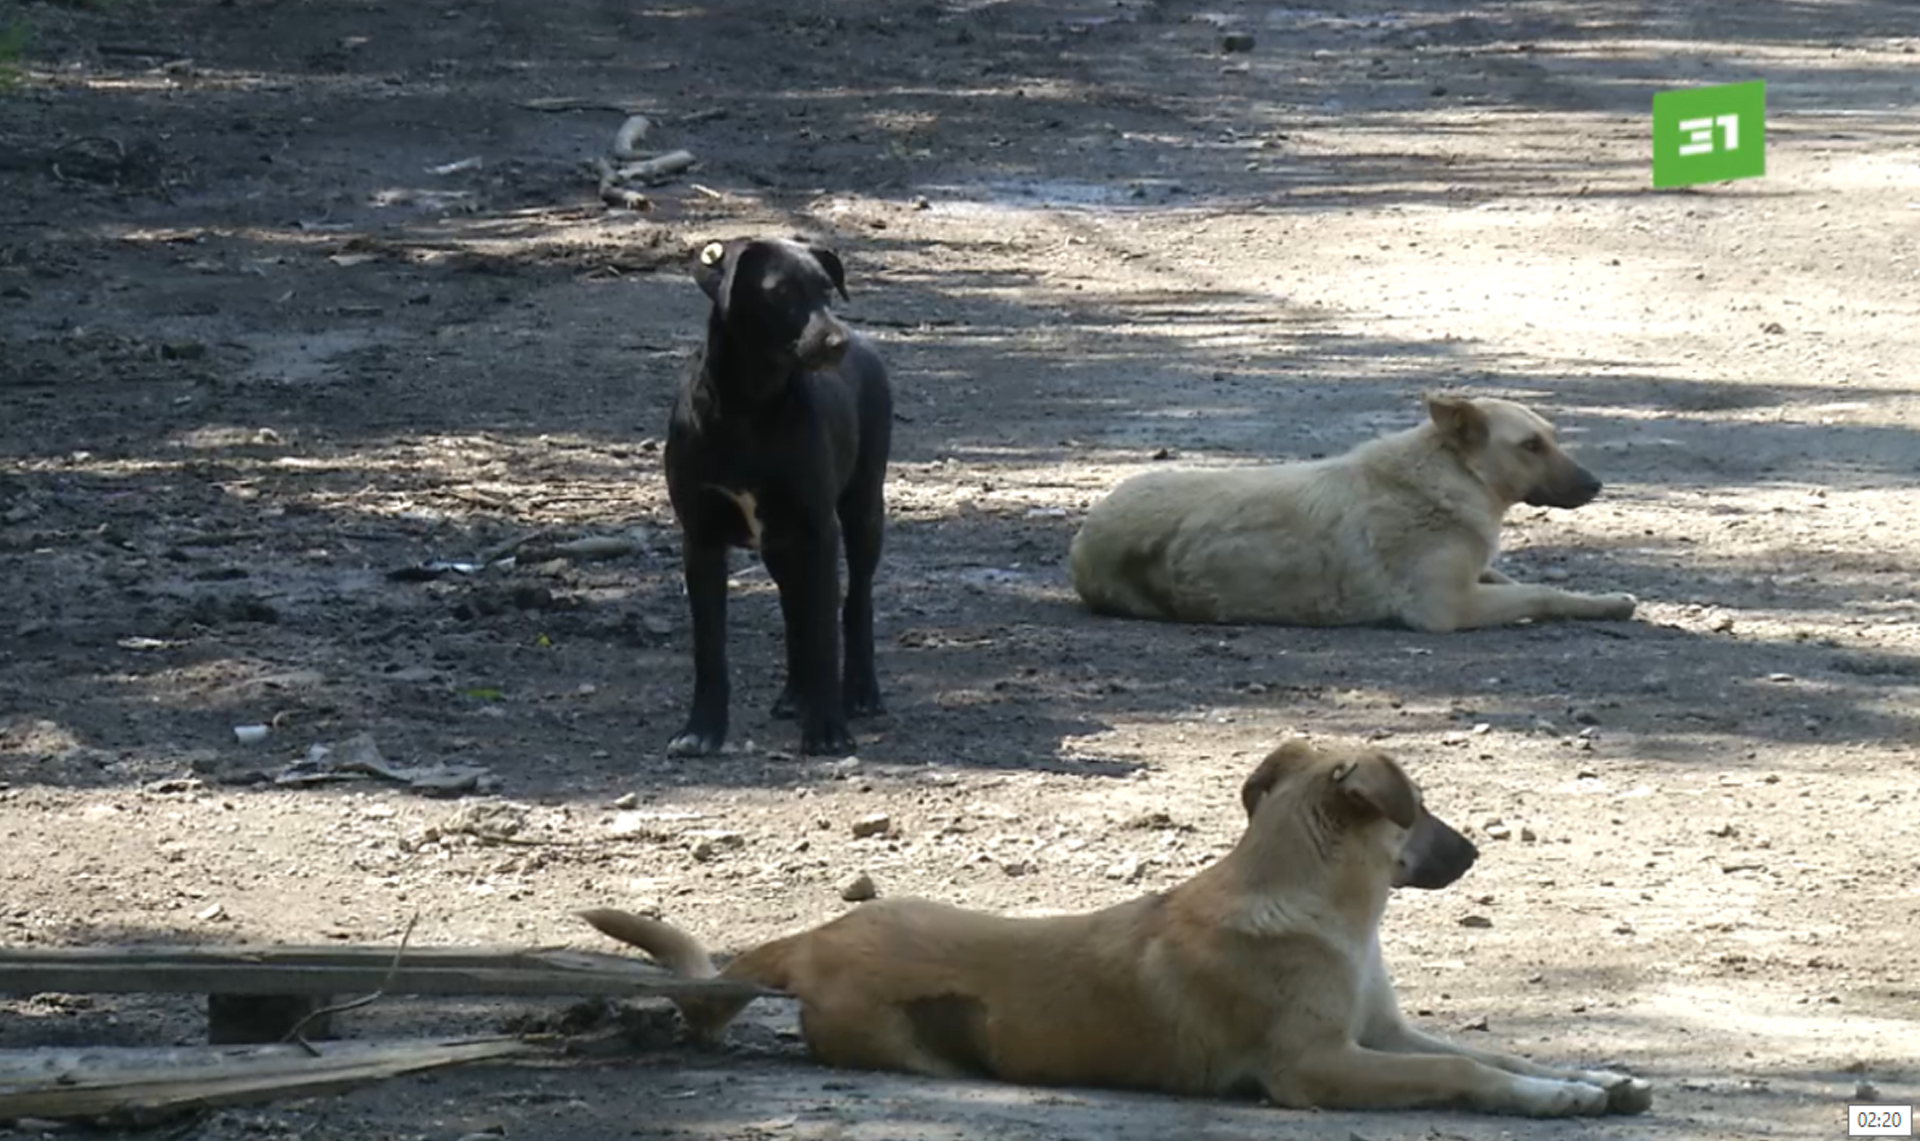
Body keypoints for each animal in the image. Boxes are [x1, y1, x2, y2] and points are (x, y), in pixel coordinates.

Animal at [579, 733, 1651, 1114]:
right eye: (1417, 809)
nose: (1473, 854)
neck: (1318, 902)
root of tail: (807, 941)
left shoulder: (1380, 1031)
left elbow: (1494, 1050)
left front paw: (1584, 1075)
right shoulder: (1319, 1066)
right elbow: (1465, 1070)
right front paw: (1557, 1099)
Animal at [664, 237, 894, 756]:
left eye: (827, 288)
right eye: (781, 291)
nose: (836, 341)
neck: (749, 406)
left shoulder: (818, 529)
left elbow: (825, 633)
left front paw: (828, 730)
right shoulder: (700, 539)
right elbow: (710, 647)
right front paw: (701, 730)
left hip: (862, 510)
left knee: (855, 600)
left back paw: (860, 691)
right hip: (781, 544)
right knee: (795, 608)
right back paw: (796, 694)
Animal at [1067, 395, 1635, 630]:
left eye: (1552, 437)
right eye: (1531, 445)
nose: (1597, 485)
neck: (1450, 477)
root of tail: (1083, 540)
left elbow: (1512, 576)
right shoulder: (1445, 609)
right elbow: (1540, 594)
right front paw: (1609, 604)